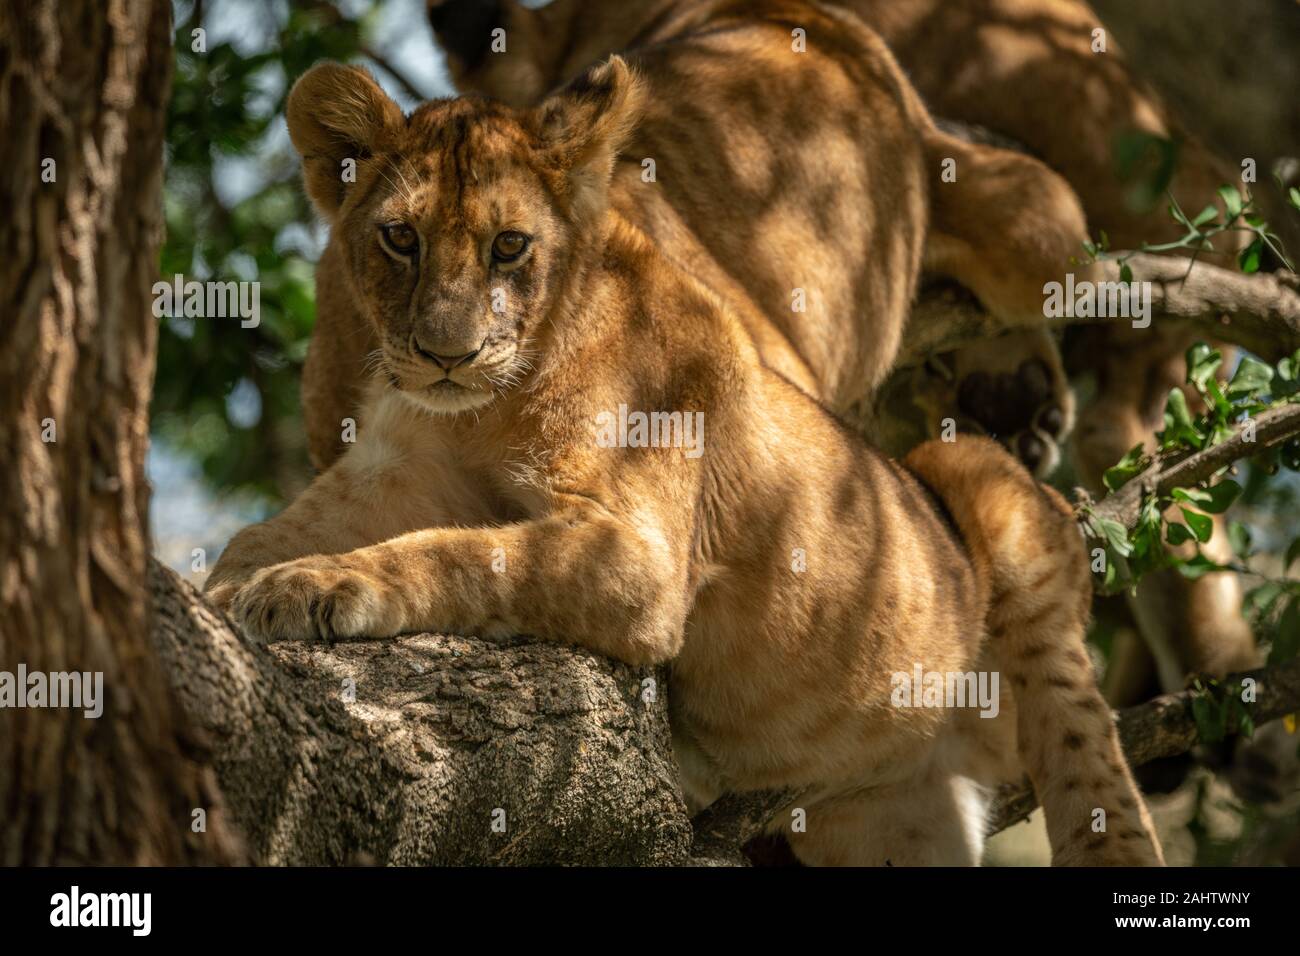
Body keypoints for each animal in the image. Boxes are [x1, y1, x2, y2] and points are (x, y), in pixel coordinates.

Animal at [207, 6, 1162, 865]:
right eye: (399, 237)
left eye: (509, 246)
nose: (448, 354)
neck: (484, 409)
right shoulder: (397, 467)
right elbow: (270, 531)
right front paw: (221, 596)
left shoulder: (639, 555)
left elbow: (460, 552)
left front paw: (315, 586)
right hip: (894, 824)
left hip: (986, 472)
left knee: (1087, 751)